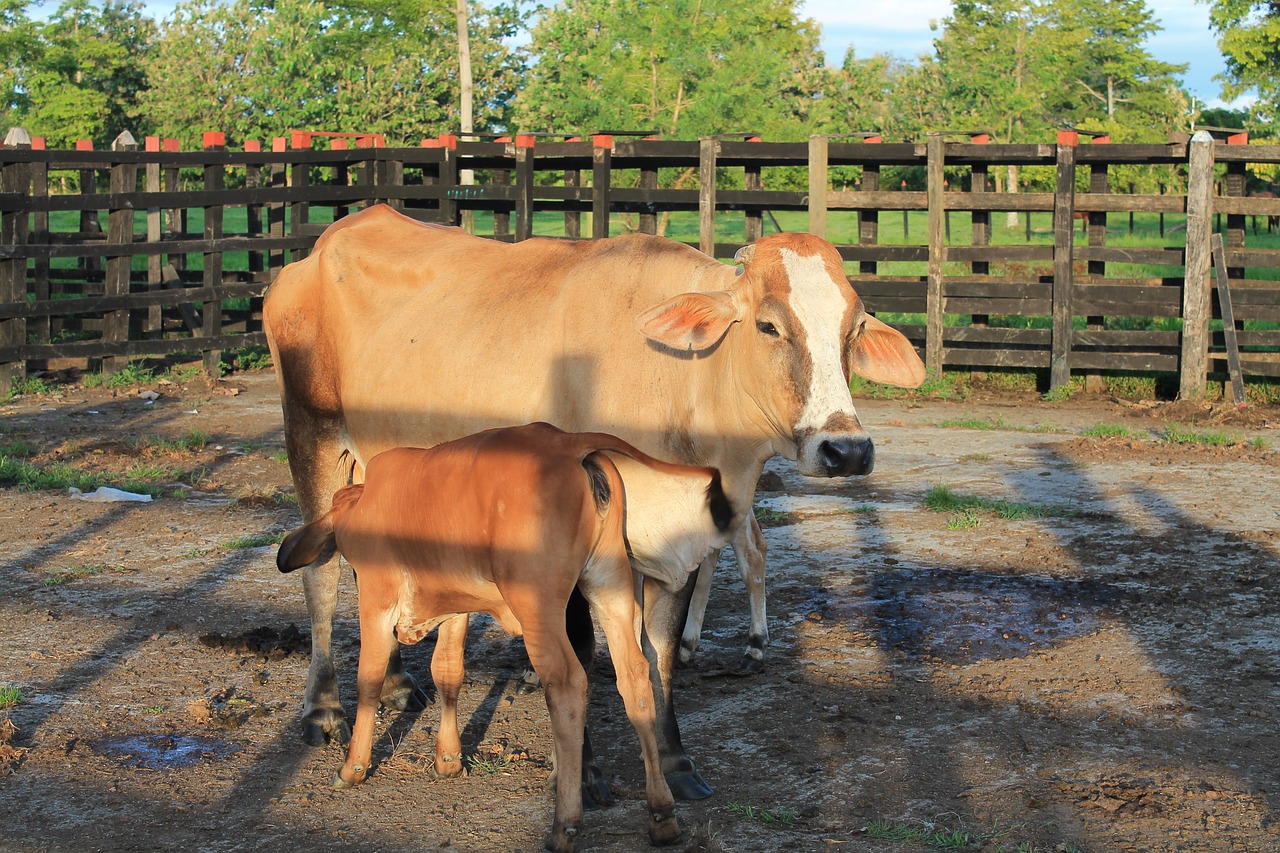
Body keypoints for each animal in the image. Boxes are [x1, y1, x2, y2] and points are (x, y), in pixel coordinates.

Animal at [262, 204, 921, 799]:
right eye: (768, 325)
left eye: (854, 328)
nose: (846, 449)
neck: (675, 382)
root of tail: (323, 246)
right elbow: (581, 650)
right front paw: (589, 772)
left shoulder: (677, 545)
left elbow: (660, 653)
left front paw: (677, 763)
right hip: (312, 431)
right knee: (320, 574)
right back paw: (323, 709)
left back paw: (397, 683)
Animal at [272, 420, 732, 850]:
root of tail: (569, 444)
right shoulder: (456, 606)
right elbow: (448, 673)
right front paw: (448, 759)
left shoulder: (377, 596)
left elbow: (368, 678)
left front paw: (353, 767)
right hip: (610, 585)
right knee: (635, 675)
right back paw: (662, 814)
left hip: (539, 605)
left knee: (568, 682)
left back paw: (565, 823)